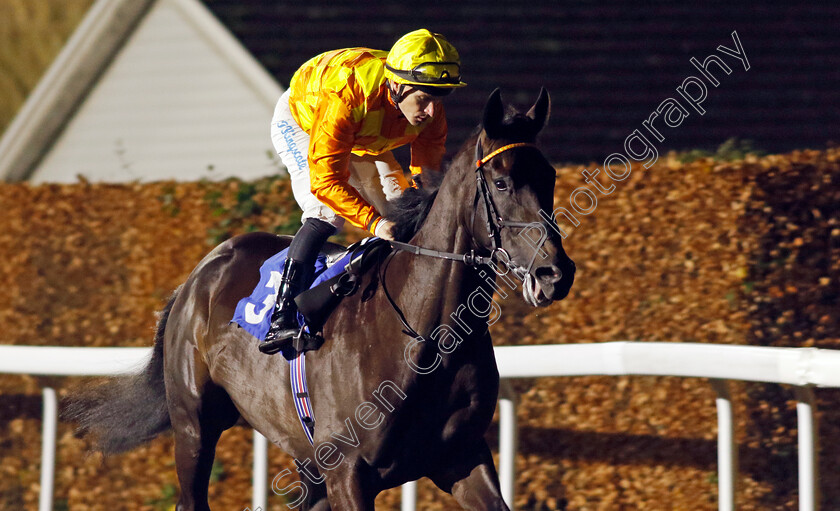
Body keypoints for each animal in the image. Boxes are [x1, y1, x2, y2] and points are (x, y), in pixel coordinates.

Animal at [67, 87, 576, 508]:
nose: (556, 272)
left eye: (550, 176)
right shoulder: (348, 471)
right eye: (502, 182)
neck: (425, 337)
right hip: (193, 425)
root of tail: (198, 274)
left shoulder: (462, 457)